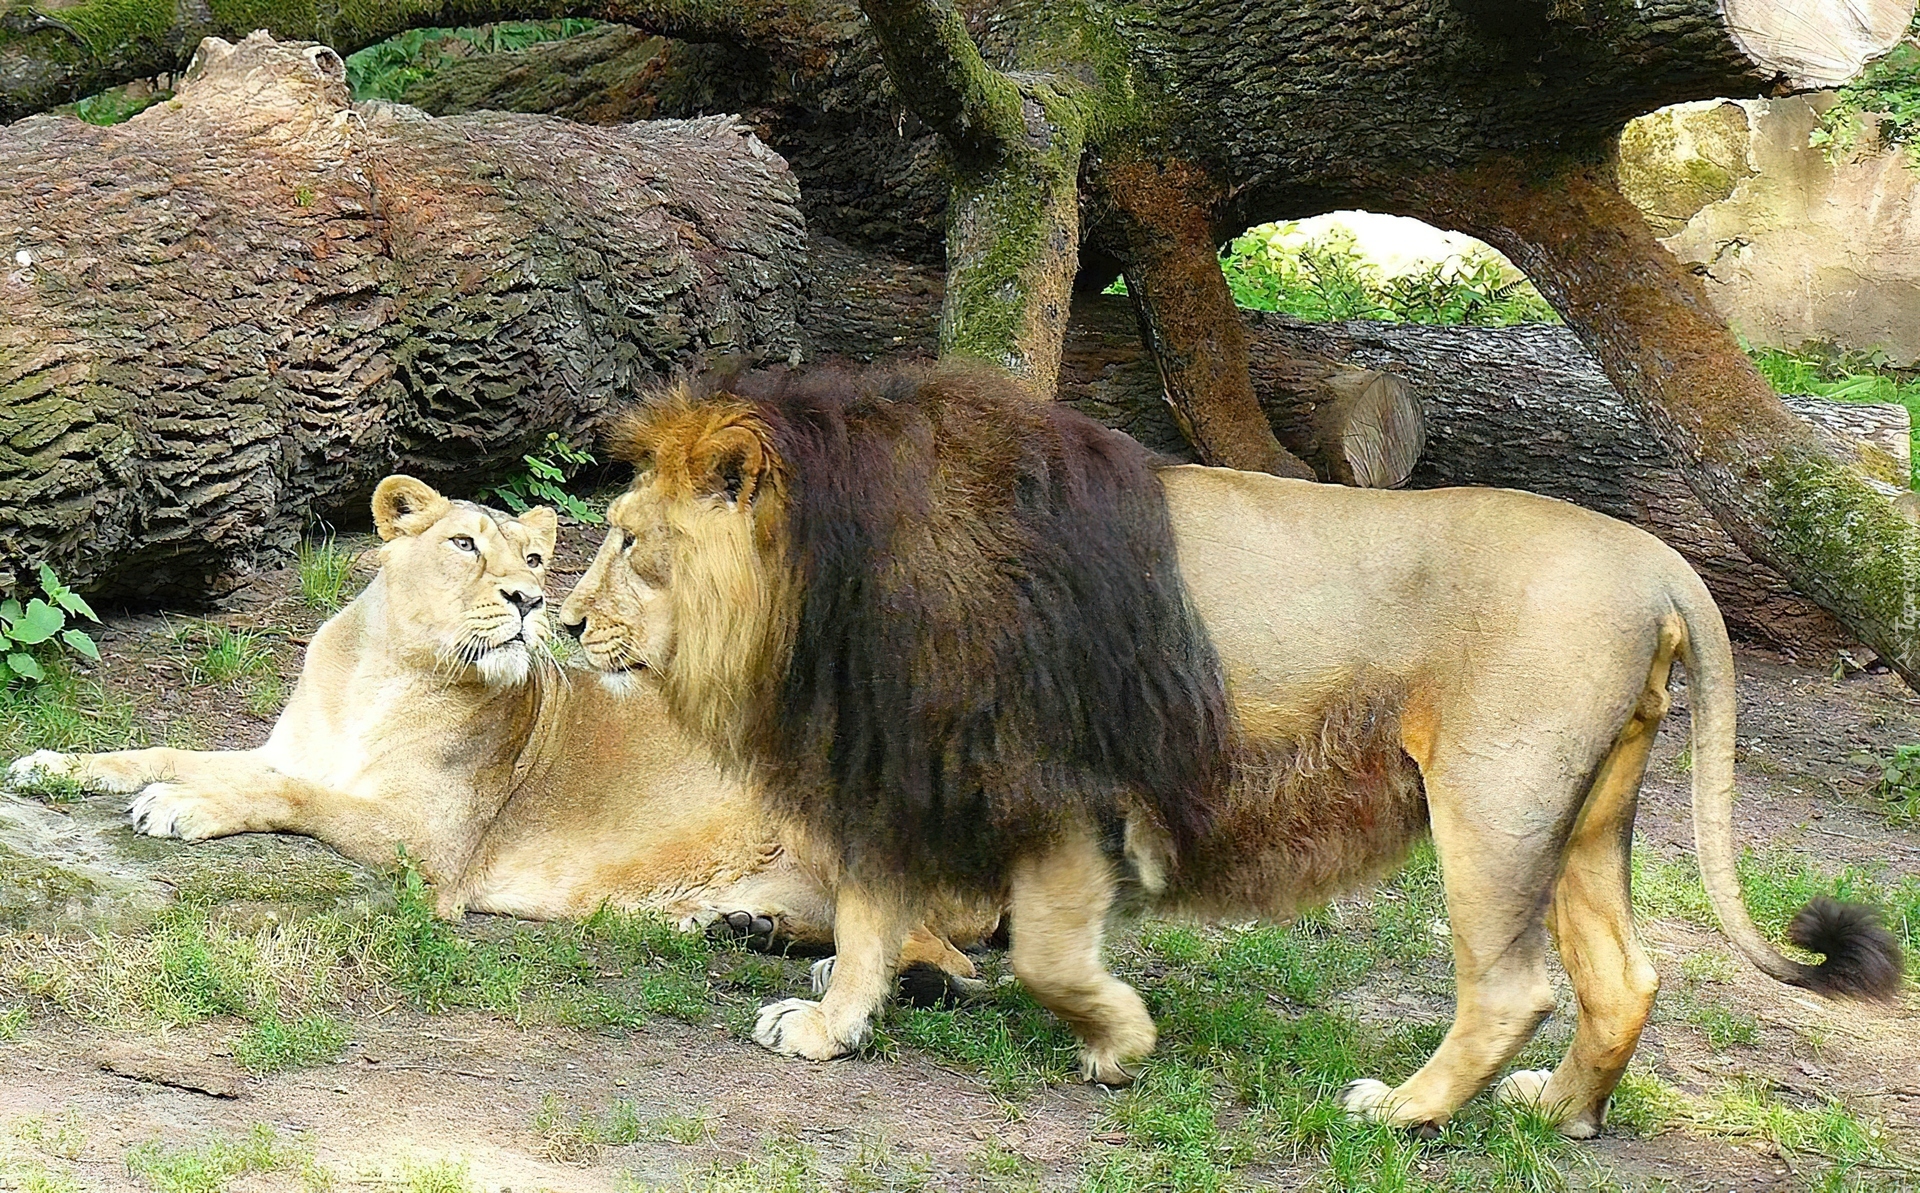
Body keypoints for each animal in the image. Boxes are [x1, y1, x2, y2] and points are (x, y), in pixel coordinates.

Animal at [0, 472, 983, 975]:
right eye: (465, 544)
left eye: (539, 557)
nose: (529, 600)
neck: (384, 673)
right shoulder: (290, 748)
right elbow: (167, 748)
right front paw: (54, 765)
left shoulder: (432, 850)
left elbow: (293, 796)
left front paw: (182, 805)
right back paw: (739, 926)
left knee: (943, 951)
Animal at [560, 361, 1904, 1137]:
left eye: (626, 540)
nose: (565, 623)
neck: (822, 582)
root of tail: (1652, 555)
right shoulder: (908, 771)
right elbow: (868, 920)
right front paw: (831, 1030)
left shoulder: (1054, 786)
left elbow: (1044, 952)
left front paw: (1118, 1043)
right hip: (1586, 810)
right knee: (1625, 977)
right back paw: (1559, 1112)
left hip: (1495, 796)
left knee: (1514, 983)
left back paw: (1401, 1112)